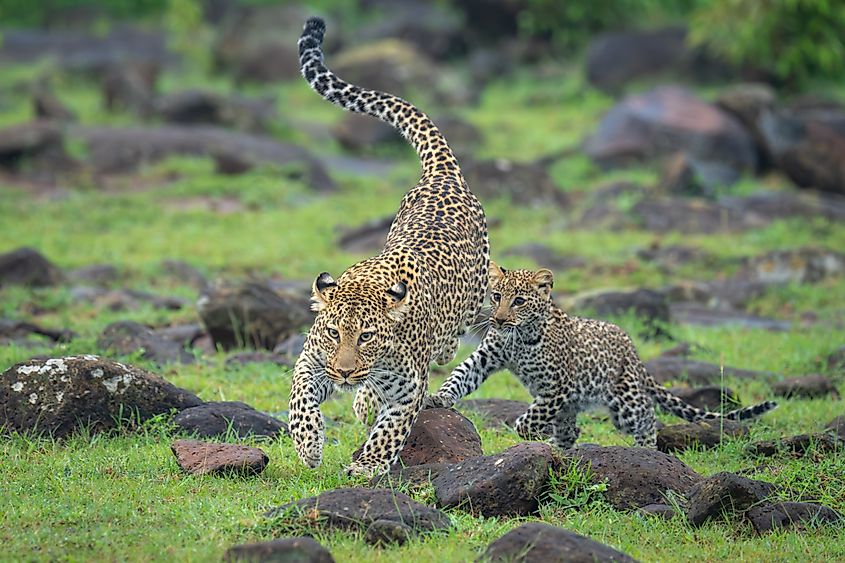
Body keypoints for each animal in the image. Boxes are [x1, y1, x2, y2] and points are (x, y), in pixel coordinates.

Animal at [288, 17, 489, 477]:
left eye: (366, 337)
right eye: (333, 332)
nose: (345, 374)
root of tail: (443, 174)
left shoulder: (409, 389)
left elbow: (391, 429)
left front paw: (368, 466)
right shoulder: (312, 360)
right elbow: (300, 398)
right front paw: (308, 444)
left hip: (471, 304)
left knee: (450, 343)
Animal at [426, 263, 778, 449]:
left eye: (519, 301)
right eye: (496, 296)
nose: (497, 320)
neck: (520, 337)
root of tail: (633, 349)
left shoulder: (557, 386)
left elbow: (533, 417)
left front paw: (525, 433)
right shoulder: (487, 357)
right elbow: (461, 375)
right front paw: (438, 397)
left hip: (625, 401)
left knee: (648, 416)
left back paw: (646, 450)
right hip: (572, 406)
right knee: (571, 431)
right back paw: (560, 450)